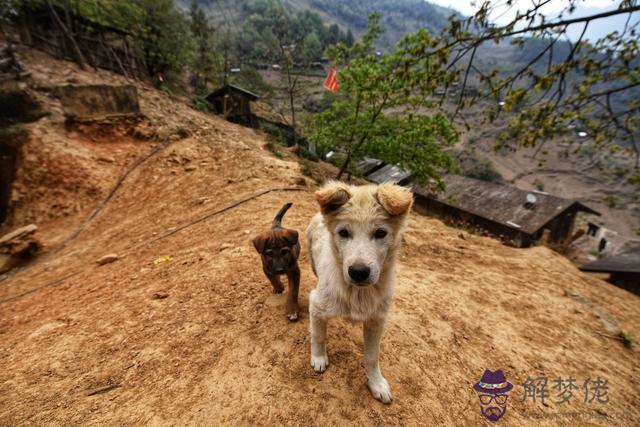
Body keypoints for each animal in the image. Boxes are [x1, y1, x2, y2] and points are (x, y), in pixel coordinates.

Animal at [306, 181, 416, 404]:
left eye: (381, 233)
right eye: (343, 233)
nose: (358, 272)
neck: (357, 292)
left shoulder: (377, 320)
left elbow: (372, 357)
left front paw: (377, 384)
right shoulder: (317, 304)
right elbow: (319, 336)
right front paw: (319, 358)